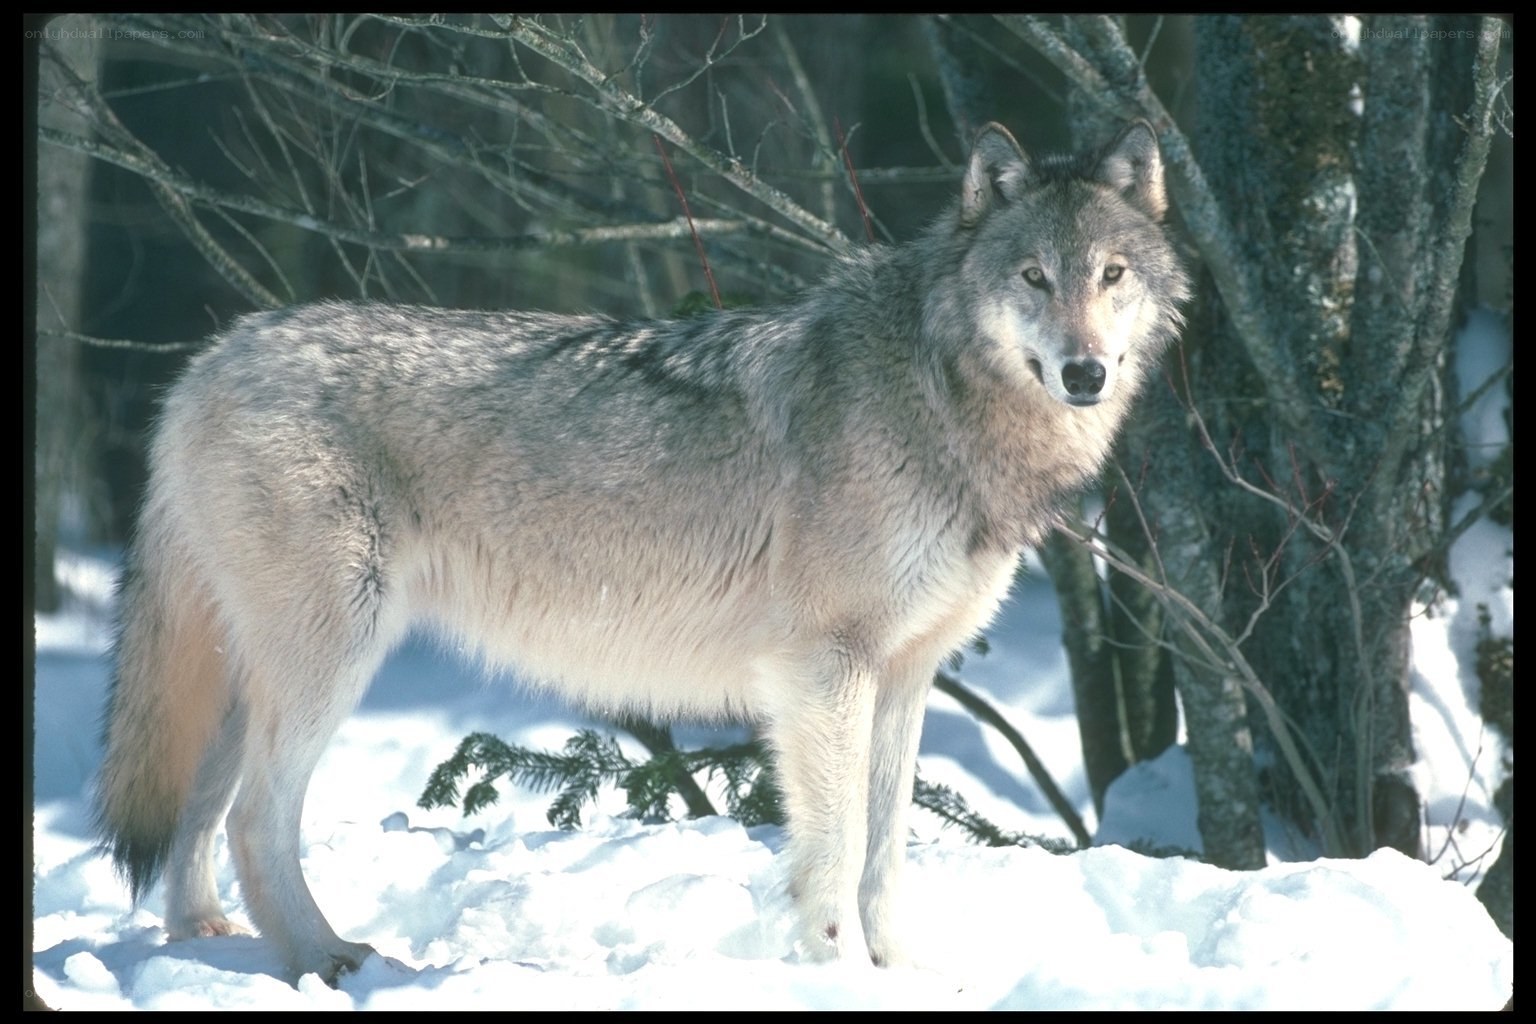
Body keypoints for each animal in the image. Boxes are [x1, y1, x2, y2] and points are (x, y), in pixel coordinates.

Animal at [94, 120, 1188, 982]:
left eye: (1111, 276)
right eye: (1033, 277)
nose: (1085, 373)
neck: (938, 395)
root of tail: (209, 358)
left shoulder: (907, 674)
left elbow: (885, 854)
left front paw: (906, 975)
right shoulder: (824, 670)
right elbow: (835, 853)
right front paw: (838, 975)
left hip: (257, 673)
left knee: (199, 803)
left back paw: (206, 942)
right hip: (334, 658)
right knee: (255, 817)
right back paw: (328, 959)